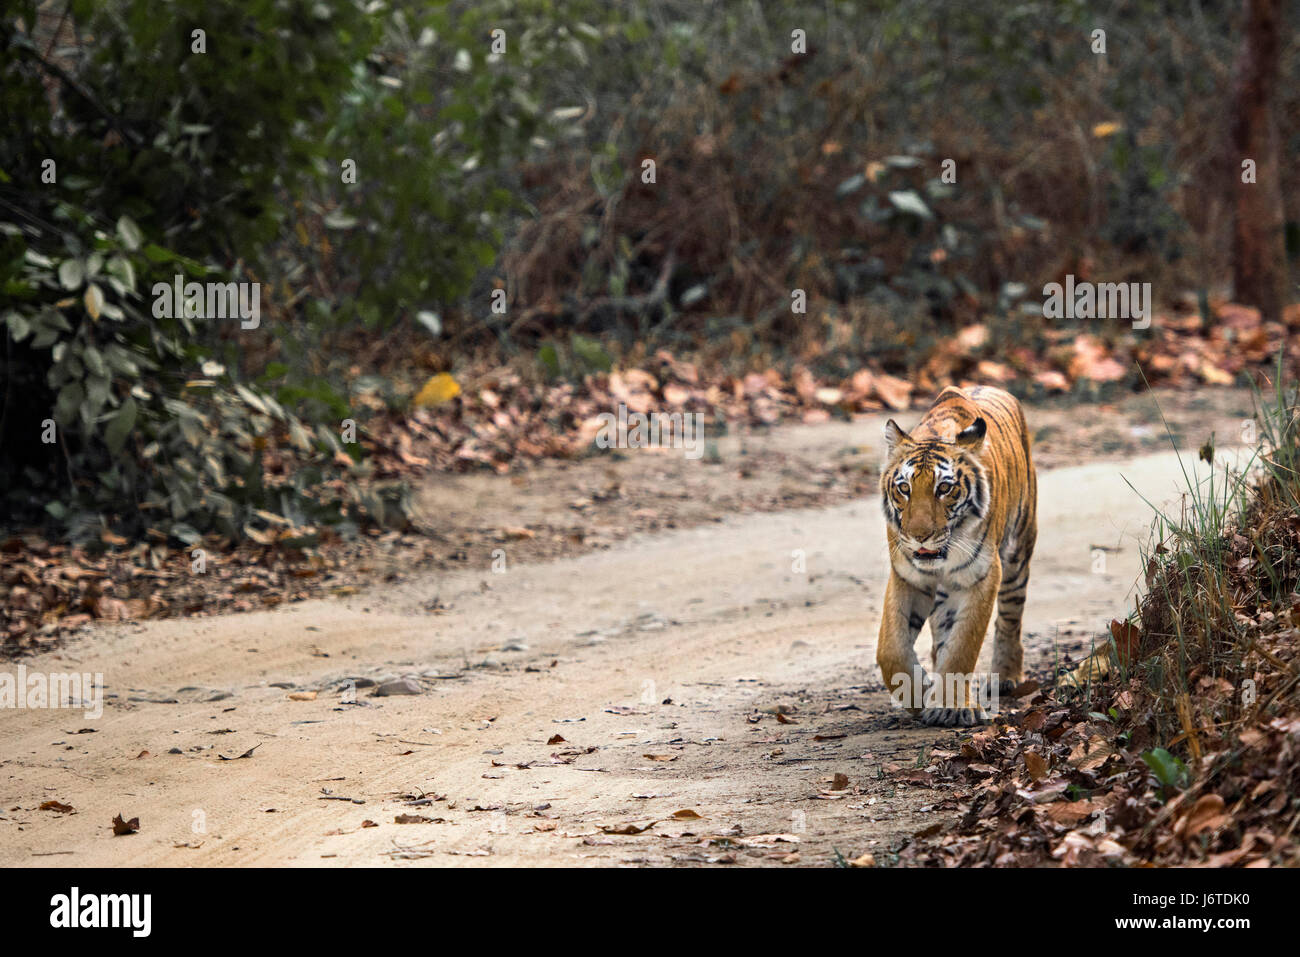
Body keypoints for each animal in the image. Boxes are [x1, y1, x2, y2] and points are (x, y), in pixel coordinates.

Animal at [878, 384, 1040, 728]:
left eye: (944, 488)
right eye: (904, 488)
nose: (919, 535)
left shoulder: (982, 575)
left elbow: (963, 645)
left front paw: (950, 707)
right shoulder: (906, 576)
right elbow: (891, 648)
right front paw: (917, 693)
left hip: (1018, 553)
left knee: (1010, 617)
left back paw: (1006, 676)